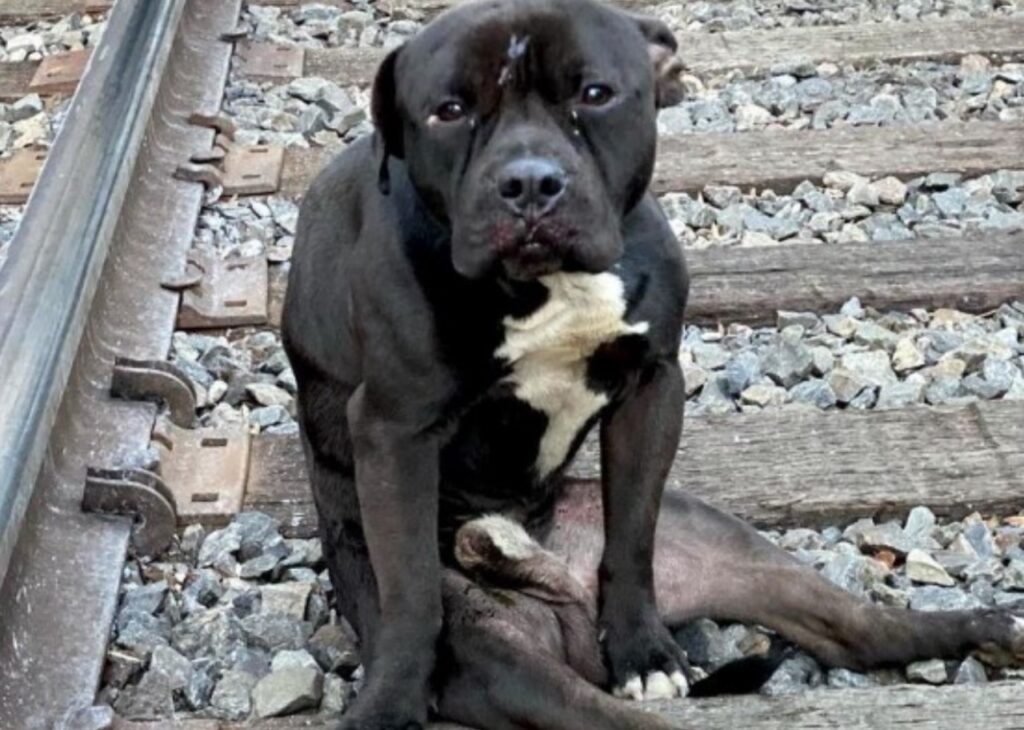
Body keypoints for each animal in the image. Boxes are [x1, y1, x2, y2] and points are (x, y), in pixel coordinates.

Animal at [280, 1, 1024, 728]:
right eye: (449, 110)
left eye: (595, 94)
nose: (529, 182)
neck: (552, 284)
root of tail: (552, 580)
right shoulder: (395, 431)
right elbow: (410, 593)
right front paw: (390, 707)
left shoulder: (652, 389)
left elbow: (633, 535)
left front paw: (640, 648)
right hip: (503, 662)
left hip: (728, 546)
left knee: (856, 630)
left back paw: (986, 629)